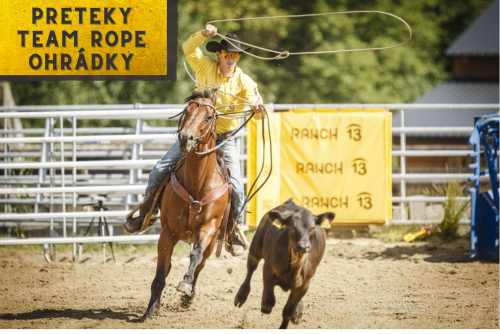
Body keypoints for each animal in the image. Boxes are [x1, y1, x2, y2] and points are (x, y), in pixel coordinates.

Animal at [143, 87, 232, 318]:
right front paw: (150, 310)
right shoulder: (167, 233)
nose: (185, 138)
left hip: (213, 241)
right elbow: (160, 273)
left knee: (200, 264)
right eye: (186, 112)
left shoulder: (208, 228)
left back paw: (188, 295)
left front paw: (185, 285)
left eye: (208, 117)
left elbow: (195, 255)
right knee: (167, 266)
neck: (197, 183)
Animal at [235, 198, 336, 328]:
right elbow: (269, 298)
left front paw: (293, 314)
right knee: (251, 267)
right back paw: (241, 296)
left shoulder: (305, 284)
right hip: (256, 246)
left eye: (313, 228)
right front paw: (265, 305)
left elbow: (288, 311)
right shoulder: (268, 268)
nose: (304, 246)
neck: (294, 267)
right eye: (292, 227)